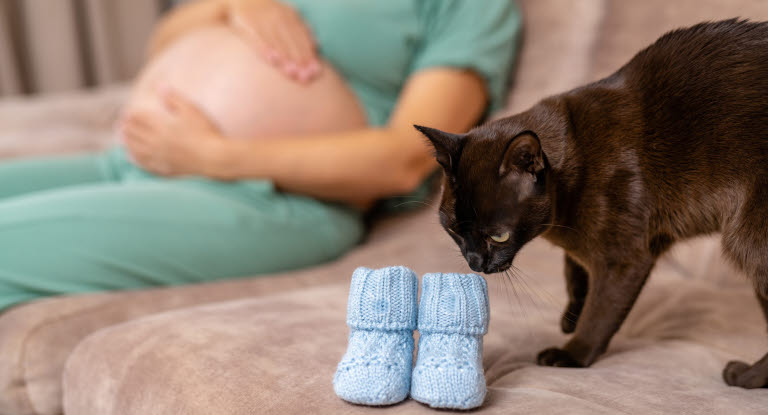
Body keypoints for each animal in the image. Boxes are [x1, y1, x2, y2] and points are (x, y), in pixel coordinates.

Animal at [414, 18, 768, 390]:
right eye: (454, 231)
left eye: (498, 236)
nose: (474, 263)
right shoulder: (583, 251)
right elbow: (575, 274)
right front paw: (570, 318)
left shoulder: (624, 259)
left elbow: (600, 313)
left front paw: (571, 353)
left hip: (748, 245)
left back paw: (743, 378)